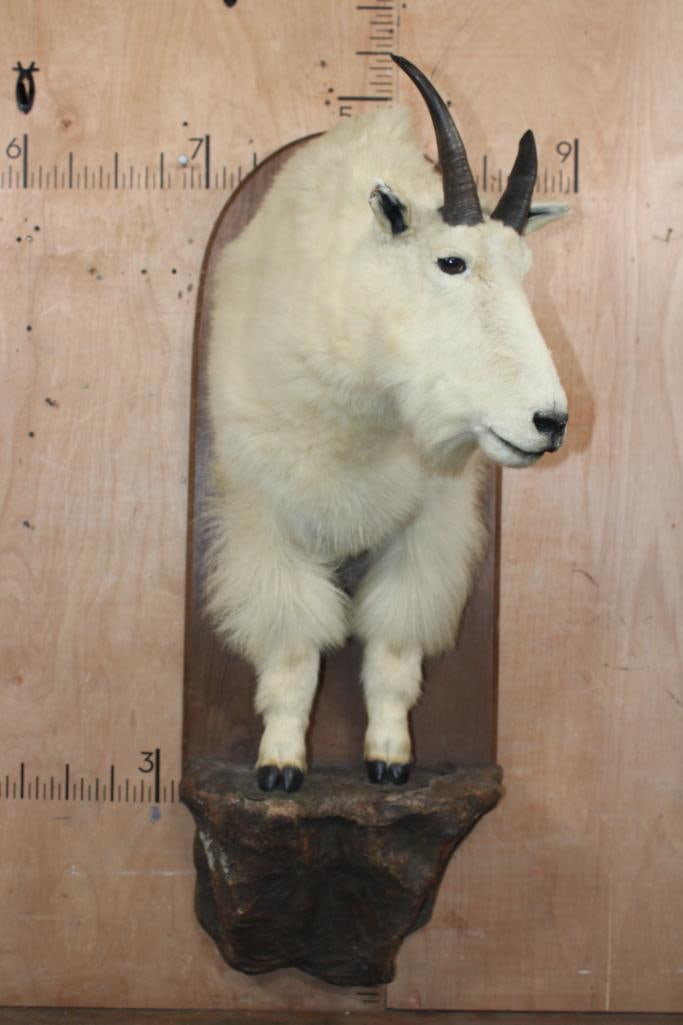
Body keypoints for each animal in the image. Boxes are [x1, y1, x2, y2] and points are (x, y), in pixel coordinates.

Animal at [206, 56, 569, 792]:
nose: (548, 421)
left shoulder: (426, 529)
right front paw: (279, 765)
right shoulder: (267, 521)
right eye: (451, 261)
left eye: (525, 270)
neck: (369, 408)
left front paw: (389, 758)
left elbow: (394, 649)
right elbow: (292, 656)